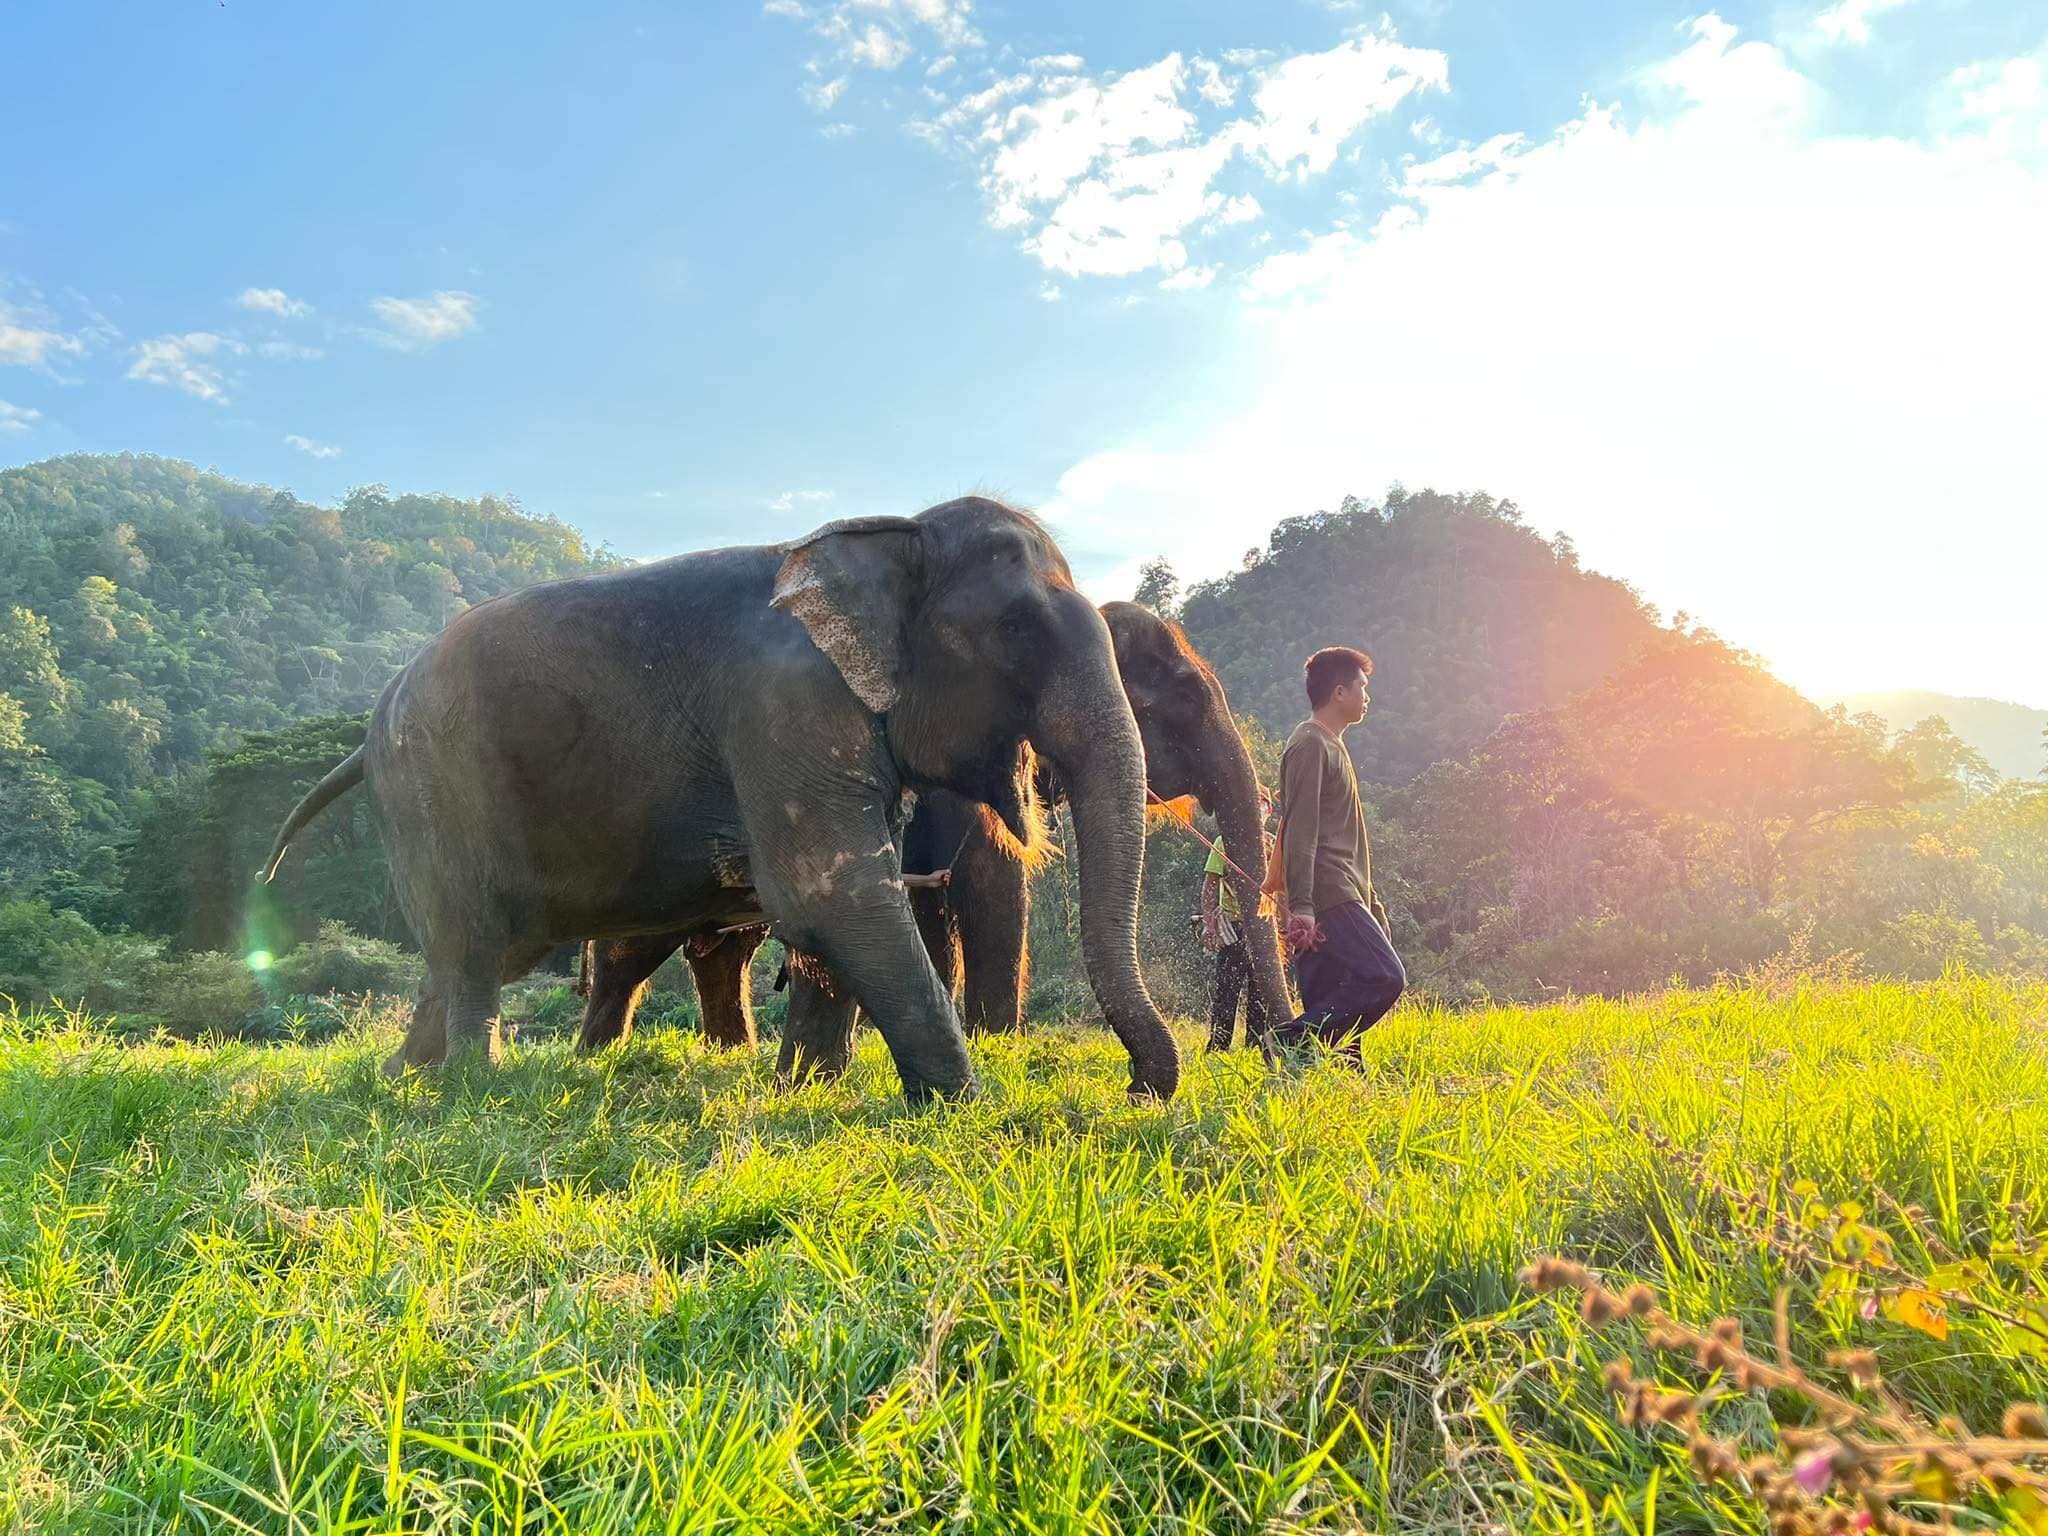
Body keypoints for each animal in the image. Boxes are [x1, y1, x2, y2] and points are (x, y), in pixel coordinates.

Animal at [261, 497, 1182, 1104]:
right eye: (1016, 632)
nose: (1138, 1089)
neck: (887, 529)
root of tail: (367, 733)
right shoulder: (783, 708)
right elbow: (831, 896)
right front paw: (963, 1112)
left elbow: (843, 904)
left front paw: (807, 1094)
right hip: (436, 788)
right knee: (473, 942)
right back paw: (470, 1088)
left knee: (486, 948)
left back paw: (400, 1076)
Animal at [575, 600, 1294, 1076]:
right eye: (1184, 699)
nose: (1284, 1047)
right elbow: (991, 884)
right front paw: (995, 1041)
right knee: (630, 950)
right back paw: (592, 1060)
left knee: (726, 950)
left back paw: (728, 1055)